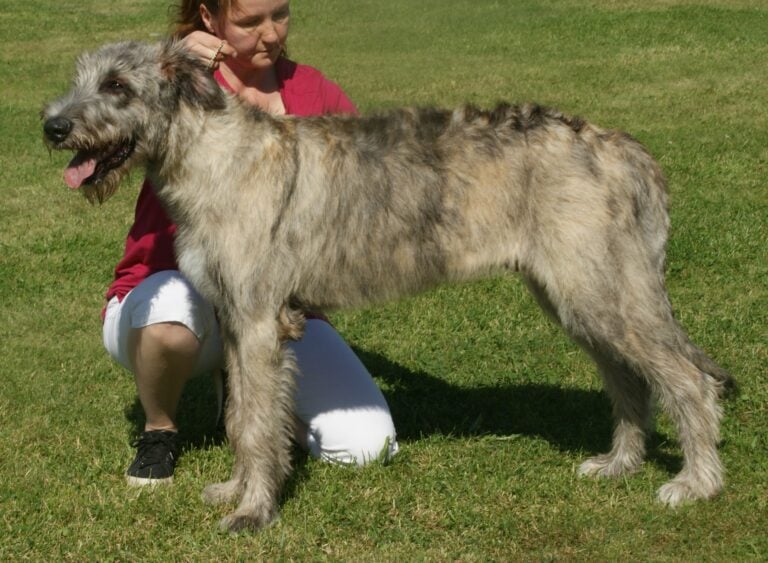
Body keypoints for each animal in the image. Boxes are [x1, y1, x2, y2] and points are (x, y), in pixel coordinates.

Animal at [40, 40, 732, 532]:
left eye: (117, 85)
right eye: (80, 78)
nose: (51, 126)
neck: (215, 153)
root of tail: (624, 148)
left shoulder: (259, 323)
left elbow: (258, 424)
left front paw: (254, 512)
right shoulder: (238, 323)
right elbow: (242, 417)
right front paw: (237, 490)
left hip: (602, 292)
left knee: (686, 379)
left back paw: (697, 483)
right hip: (580, 299)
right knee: (630, 381)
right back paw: (619, 465)